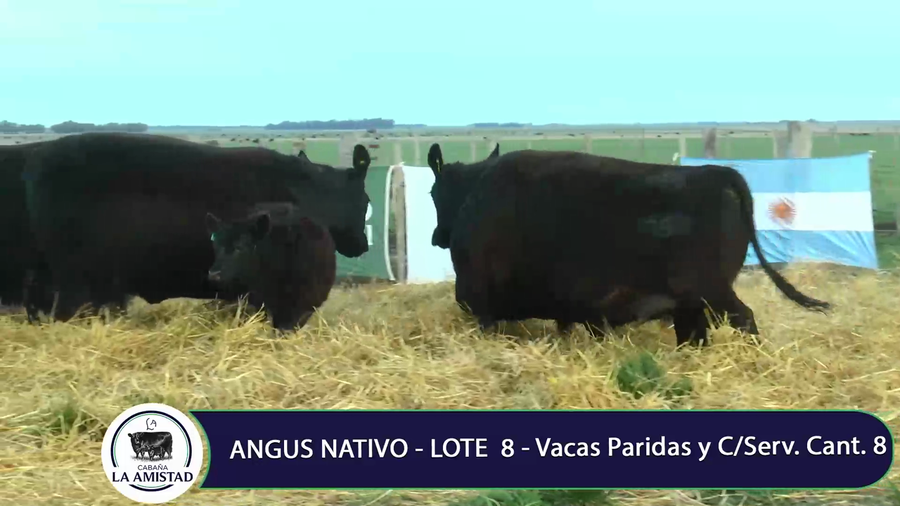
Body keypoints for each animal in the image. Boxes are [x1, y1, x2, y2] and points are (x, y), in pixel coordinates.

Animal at [426, 144, 831, 348]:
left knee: (744, 319)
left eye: (432, 192)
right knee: (695, 334)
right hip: (690, 303)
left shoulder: (480, 302)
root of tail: (713, 172)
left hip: (712, 291)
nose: (436, 237)